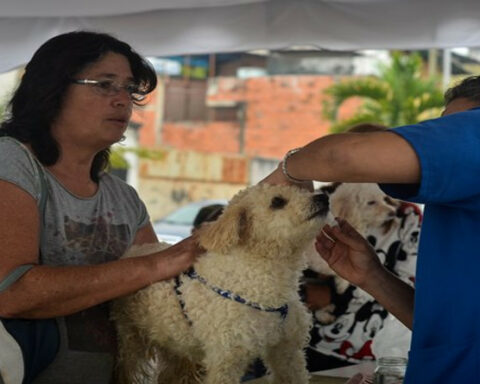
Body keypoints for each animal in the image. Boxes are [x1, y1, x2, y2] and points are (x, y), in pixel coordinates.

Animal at [111, 184, 330, 382]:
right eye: (277, 201)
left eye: (303, 190)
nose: (323, 197)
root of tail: (132, 251)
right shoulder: (226, 359)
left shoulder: (287, 351)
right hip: (130, 340)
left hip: (175, 342)